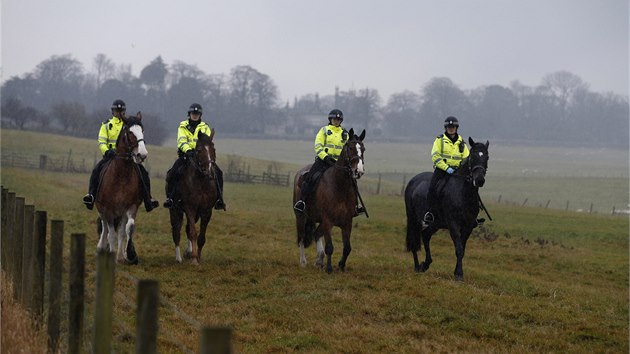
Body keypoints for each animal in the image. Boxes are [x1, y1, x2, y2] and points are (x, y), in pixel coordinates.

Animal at [95, 112, 148, 264]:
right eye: (130, 132)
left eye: (142, 130)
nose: (142, 154)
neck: (121, 176)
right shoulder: (108, 209)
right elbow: (111, 233)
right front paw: (112, 254)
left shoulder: (131, 206)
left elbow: (127, 229)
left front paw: (125, 254)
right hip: (101, 208)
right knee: (104, 226)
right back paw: (101, 247)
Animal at [168, 129, 220, 262]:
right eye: (199, 150)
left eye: (213, 149)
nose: (210, 171)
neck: (201, 181)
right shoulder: (189, 208)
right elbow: (193, 233)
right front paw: (194, 259)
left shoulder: (206, 211)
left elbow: (201, 236)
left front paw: (197, 256)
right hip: (175, 210)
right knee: (176, 231)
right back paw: (179, 258)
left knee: (187, 228)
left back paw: (188, 251)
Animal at [294, 128, 368, 274]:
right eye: (350, 148)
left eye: (363, 149)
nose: (359, 171)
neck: (339, 186)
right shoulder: (328, 221)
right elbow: (330, 247)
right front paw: (329, 269)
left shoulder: (347, 222)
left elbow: (347, 248)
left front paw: (341, 266)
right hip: (301, 216)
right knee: (301, 238)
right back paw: (303, 262)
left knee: (316, 234)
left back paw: (319, 260)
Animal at [408, 137, 492, 280]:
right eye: (473, 156)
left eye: (487, 157)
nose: (479, 180)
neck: (464, 194)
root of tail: (413, 180)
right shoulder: (453, 224)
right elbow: (458, 248)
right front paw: (459, 274)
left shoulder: (468, 226)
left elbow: (462, 249)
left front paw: (456, 272)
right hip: (414, 219)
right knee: (415, 240)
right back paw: (417, 266)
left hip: (435, 224)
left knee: (426, 235)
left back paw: (425, 264)